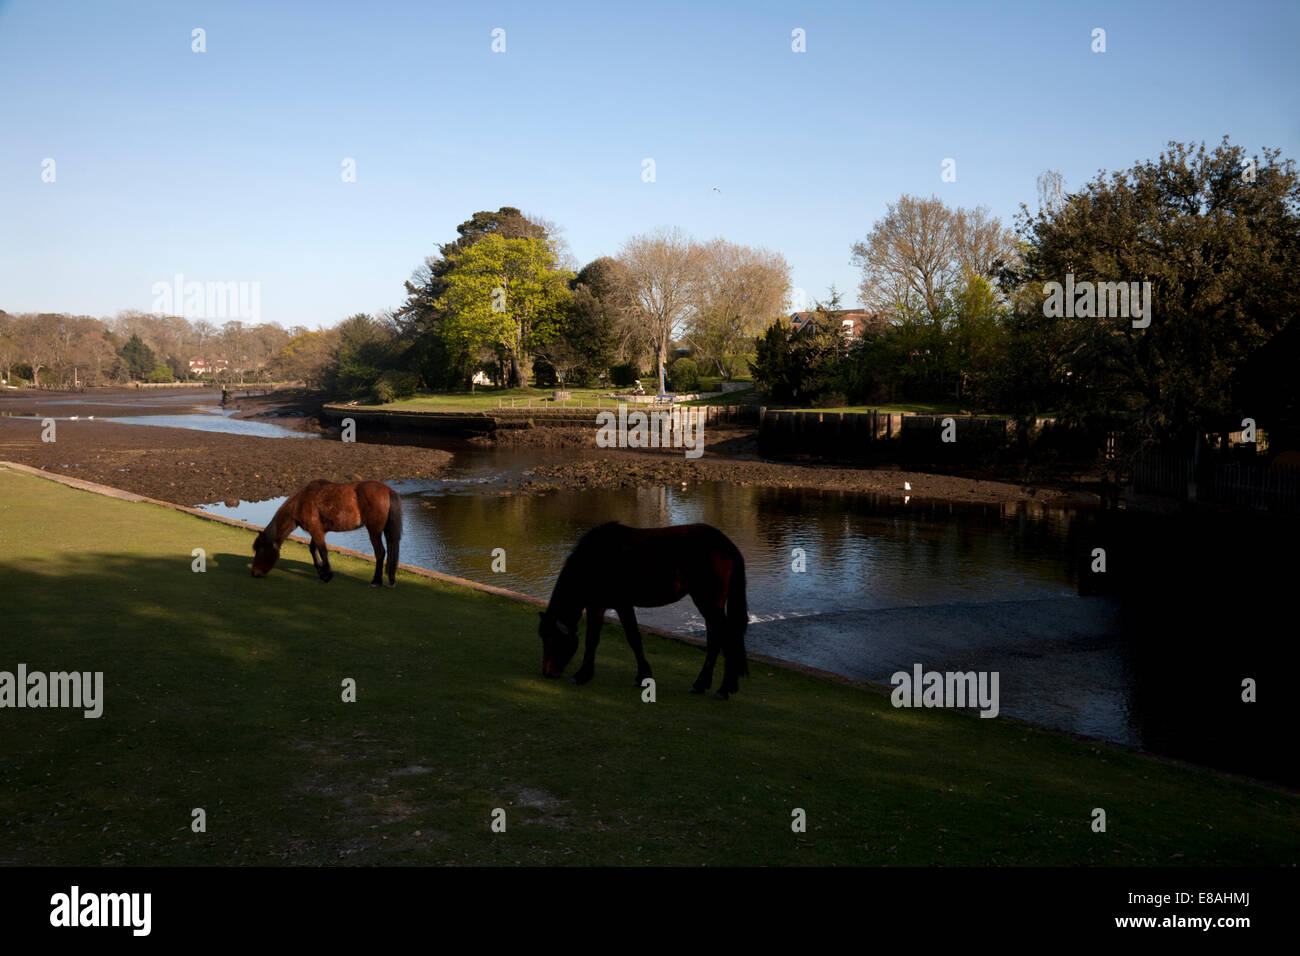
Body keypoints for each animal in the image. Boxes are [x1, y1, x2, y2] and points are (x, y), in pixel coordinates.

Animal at [249, 481, 400, 587]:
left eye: (260, 550)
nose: (254, 573)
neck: (302, 500)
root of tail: (388, 490)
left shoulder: (316, 530)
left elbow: (322, 551)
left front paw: (326, 576)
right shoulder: (318, 530)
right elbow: (313, 549)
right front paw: (321, 572)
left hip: (374, 531)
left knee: (380, 552)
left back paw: (376, 581)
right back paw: (390, 580)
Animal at [535, 522, 748, 702]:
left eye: (553, 638)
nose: (547, 672)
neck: (596, 558)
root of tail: (727, 545)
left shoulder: (614, 604)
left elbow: (617, 638)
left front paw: (583, 675)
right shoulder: (606, 605)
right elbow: (615, 638)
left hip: (707, 602)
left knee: (726, 637)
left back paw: (724, 689)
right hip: (712, 604)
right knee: (715, 640)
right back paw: (701, 684)